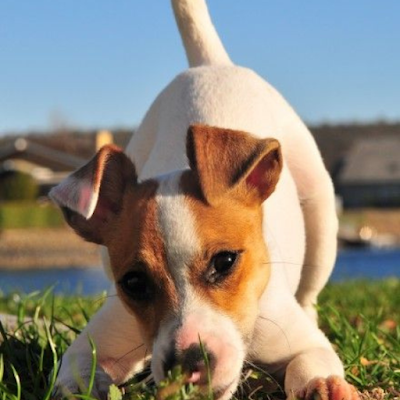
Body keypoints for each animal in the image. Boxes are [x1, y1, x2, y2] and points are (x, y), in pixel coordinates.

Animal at [50, 0, 360, 400]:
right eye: (133, 283)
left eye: (225, 261)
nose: (189, 364)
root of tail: (210, 64)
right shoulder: (103, 336)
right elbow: (79, 376)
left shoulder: (302, 343)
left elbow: (309, 362)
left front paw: (322, 385)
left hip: (320, 218)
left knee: (310, 291)